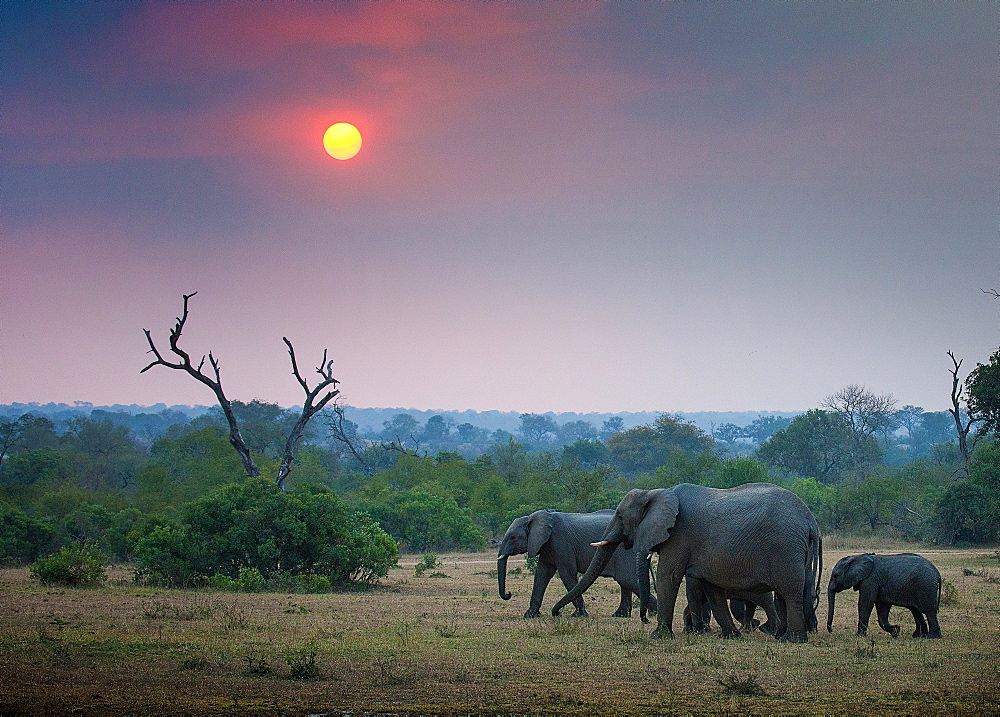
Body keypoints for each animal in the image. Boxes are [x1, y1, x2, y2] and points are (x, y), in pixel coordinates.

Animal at [498, 506, 656, 620]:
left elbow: (566, 573)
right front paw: (530, 615)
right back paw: (620, 616)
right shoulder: (547, 546)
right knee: (625, 582)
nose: (509, 593)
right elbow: (542, 574)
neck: (533, 517)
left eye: (512, 537)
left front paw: (578, 615)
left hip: (625, 552)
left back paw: (653, 613)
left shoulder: (560, 542)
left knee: (627, 580)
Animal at [556, 484, 820, 640]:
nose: (555, 613)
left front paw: (658, 636)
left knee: (790, 590)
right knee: (789, 592)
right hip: (795, 549)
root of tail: (810, 519)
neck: (657, 493)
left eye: (620, 516)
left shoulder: (679, 535)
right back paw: (780, 636)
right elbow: (711, 588)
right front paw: (729, 636)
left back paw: (791, 640)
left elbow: (668, 576)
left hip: (785, 546)